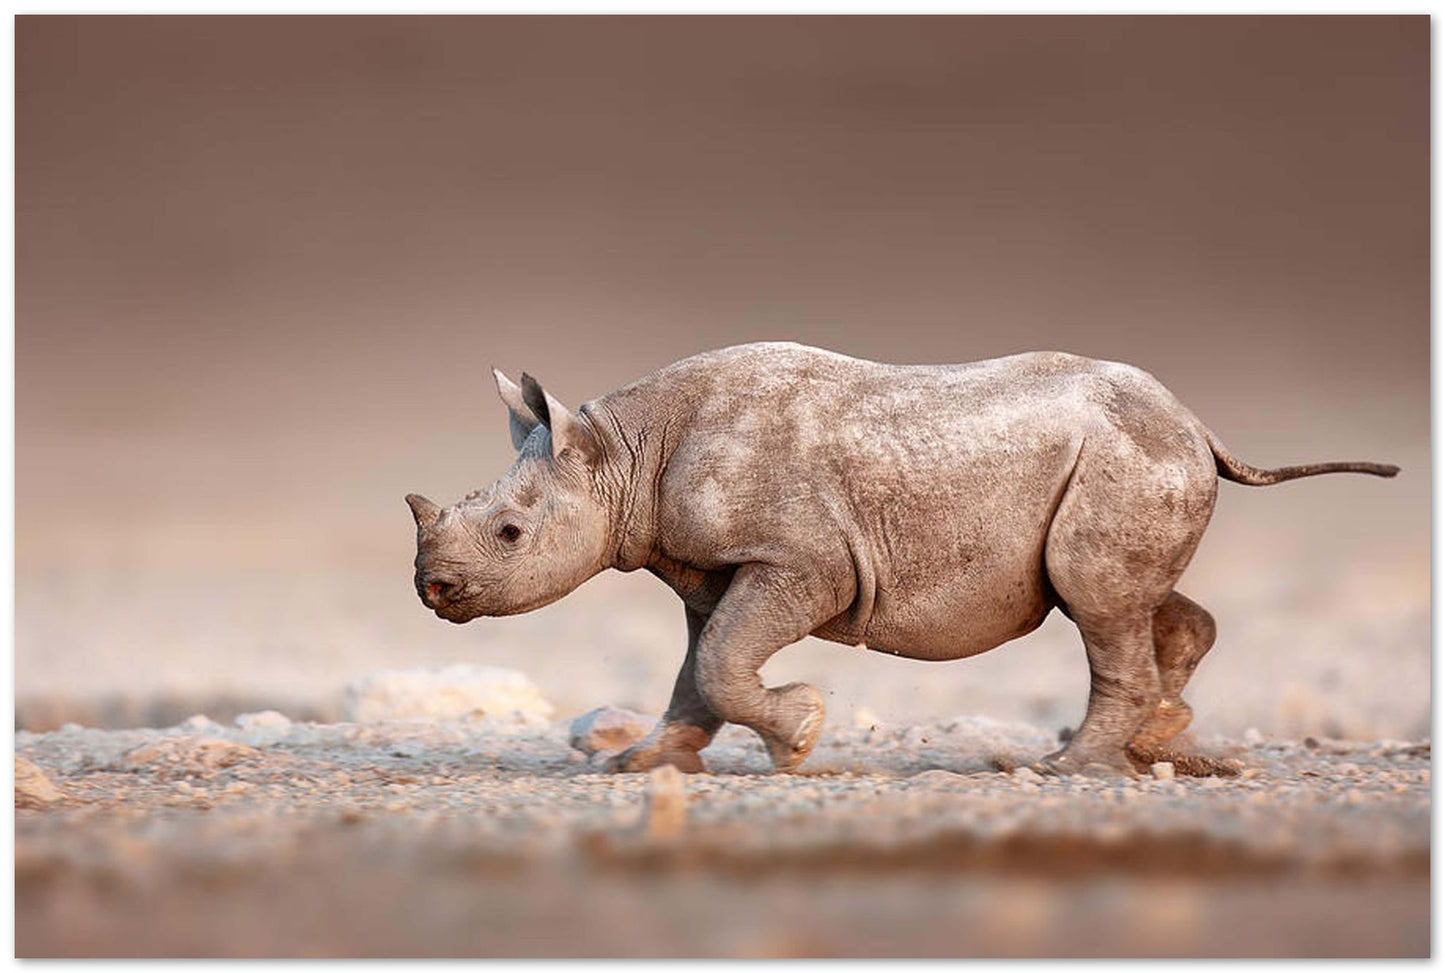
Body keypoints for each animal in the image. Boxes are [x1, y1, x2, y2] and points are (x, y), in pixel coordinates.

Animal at [405, 342, 1398, 776]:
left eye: (509, 534)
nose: (432, 588)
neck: (621, 452)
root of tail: (1197, 423)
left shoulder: (801, 560)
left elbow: (723, 660)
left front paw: (800, 735)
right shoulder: (709, 572)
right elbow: (698, 667)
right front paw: (643, 765)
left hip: (1125, 458)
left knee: (1098, 602)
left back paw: (1061, 770)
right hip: (1135, 457)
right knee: (1128, 599)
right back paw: (1152, 742)